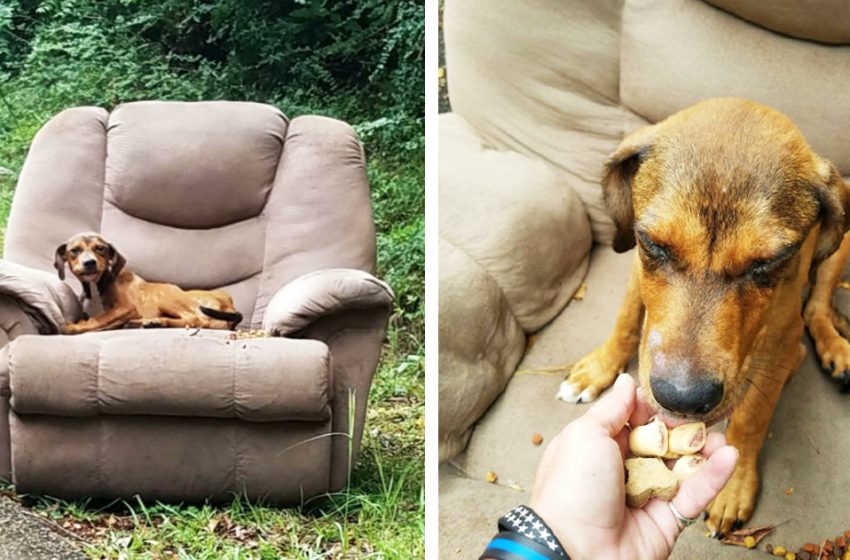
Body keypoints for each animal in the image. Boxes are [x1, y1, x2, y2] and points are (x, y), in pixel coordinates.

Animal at [54, 232, 242, 332]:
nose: (90, 263)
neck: (97, 285)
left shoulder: (126, 308)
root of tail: (230, 305)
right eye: (74, 250)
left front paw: (75, 327)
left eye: (101, 248)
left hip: (165, 298)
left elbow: (101, 318)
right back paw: (149, 322)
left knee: (196, 319)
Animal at [552, 98, 848, 536]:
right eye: (653, 244)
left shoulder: (780, 334)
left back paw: (832, 349)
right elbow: (627, 319)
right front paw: (598, 368)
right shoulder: (637, 269)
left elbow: (752, 416)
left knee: (816, 310)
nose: (682, 399)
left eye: (767, 262)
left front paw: (735, 484)